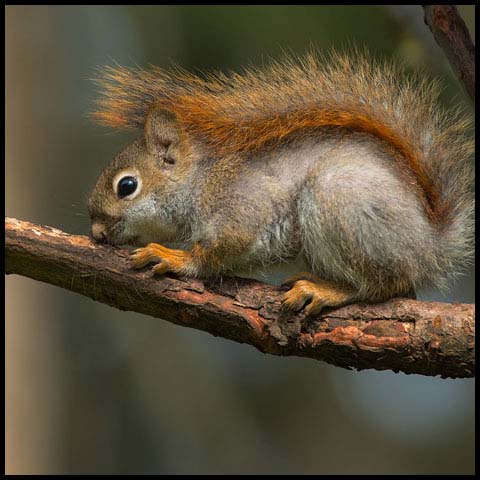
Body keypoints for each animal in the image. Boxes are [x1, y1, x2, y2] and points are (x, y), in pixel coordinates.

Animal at [87, 49, 472, 316]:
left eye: (126, 186)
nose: (97, 234)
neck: (199, 182)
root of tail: (431, 244)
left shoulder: (239, 204)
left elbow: (218, 249)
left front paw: (174, 256)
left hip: (338, 201)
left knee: (386, 283)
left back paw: (324, 290)